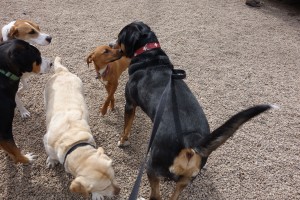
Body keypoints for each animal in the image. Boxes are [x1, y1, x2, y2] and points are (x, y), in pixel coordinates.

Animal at [43, 57, 120, 199]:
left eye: (113, 177)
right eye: (104, 187)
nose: (119, 191)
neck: (73, 143)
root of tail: (62, 72)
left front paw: (96, 195)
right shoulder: (46, 141)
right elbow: (51, 154)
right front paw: (52, 160)